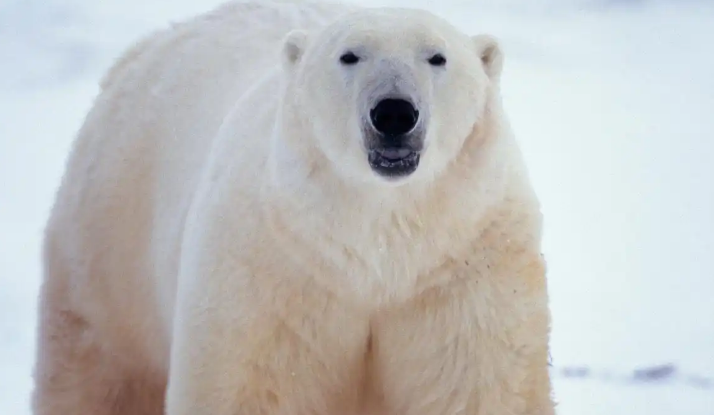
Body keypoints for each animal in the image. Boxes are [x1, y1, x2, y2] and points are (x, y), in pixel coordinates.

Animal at [32, 0, 555, 415]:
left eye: (437, 56)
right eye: (349, 55)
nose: (393, 112)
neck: (377, 244)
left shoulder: (462, 271)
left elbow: (478, 386)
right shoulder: (273, 272)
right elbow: (254, 385)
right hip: (112, 248)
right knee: (98, 375)